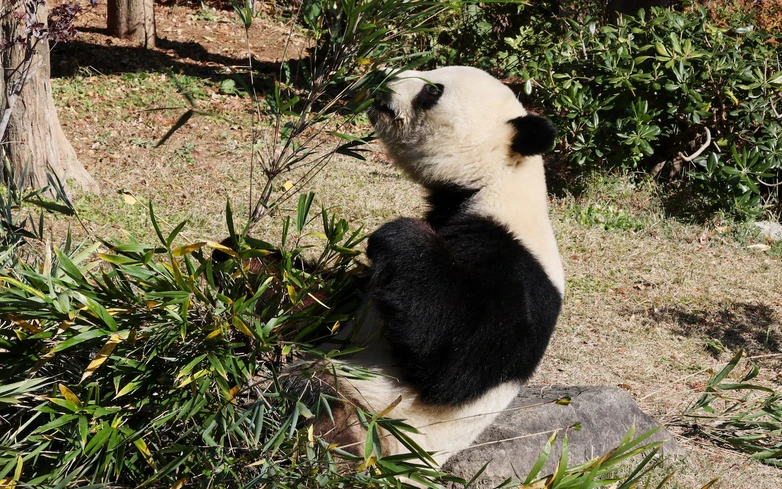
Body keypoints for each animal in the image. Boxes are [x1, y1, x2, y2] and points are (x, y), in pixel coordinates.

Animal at [304, 66, 564, 466]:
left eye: (432, 90)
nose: (381, 74)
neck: (494, 182)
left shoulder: (516, 265)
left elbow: (458, 361)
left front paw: (403, 235)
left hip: (367, 424)